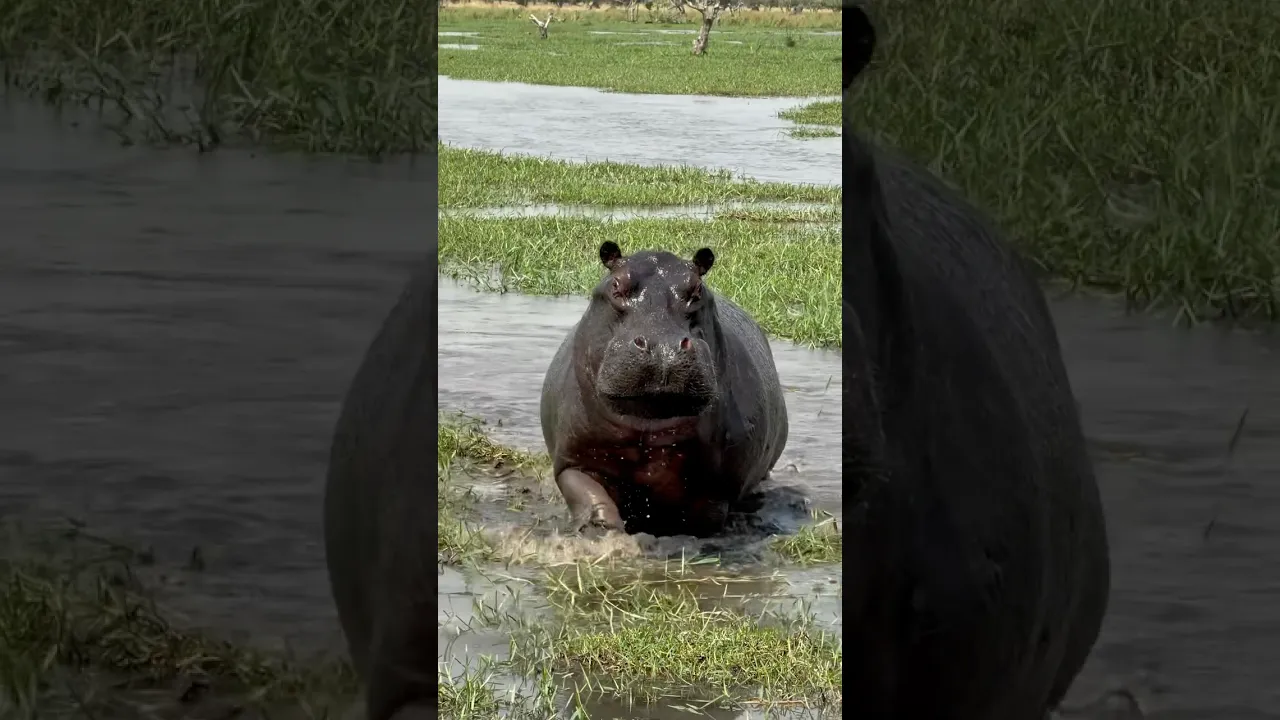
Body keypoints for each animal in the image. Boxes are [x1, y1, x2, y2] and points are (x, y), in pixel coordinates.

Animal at [539, 241, 788, 537]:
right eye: (616, 285)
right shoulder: (575, 459)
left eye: (697, 290)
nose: (663, 347)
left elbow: (701, 520)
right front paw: (604, 532)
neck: (648, 425)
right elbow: (591, 498)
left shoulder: (716, 487)